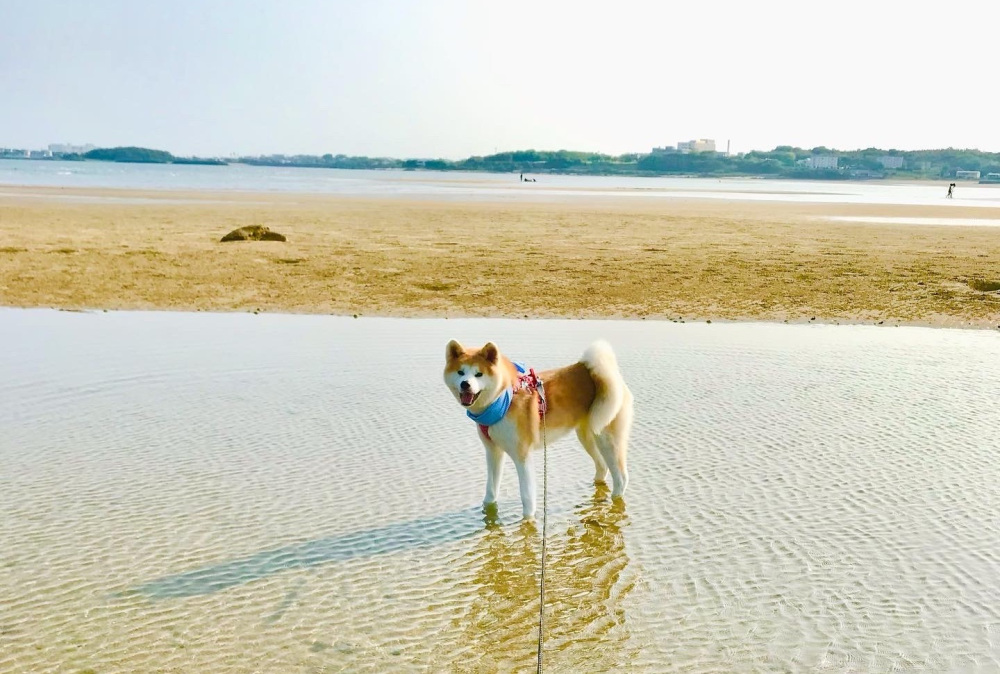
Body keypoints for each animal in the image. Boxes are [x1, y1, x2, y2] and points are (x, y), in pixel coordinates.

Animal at [444, 338, 632, 516]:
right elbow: (491, 491)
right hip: (588, 437)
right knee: (602, 466)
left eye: (479, 374)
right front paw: (489, 514)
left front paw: (528, 520)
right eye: (460, 372)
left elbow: (527, 497)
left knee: (621, 477)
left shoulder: (522, 456)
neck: (502, 400)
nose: (465, 384)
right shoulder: (493, 452)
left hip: (607, 440)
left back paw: (615, 502)